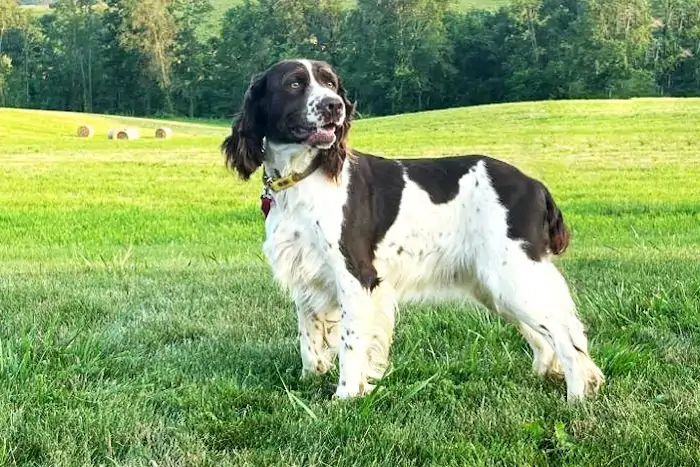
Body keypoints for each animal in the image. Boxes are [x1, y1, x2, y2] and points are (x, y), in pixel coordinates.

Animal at [221, 58, 604, 402]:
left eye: (330, 83)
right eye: (295, 84)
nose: (335, 106)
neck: (304, 177)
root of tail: (535, 185)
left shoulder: (355, 276)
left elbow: (350, 344)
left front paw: (345, 396)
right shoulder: (306, 273)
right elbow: (309, 339)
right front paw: (309, 379)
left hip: (513, 274)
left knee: (566, 337)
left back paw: (577, 398)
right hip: (495, 284)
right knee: (546, 336)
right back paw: (544, 376)